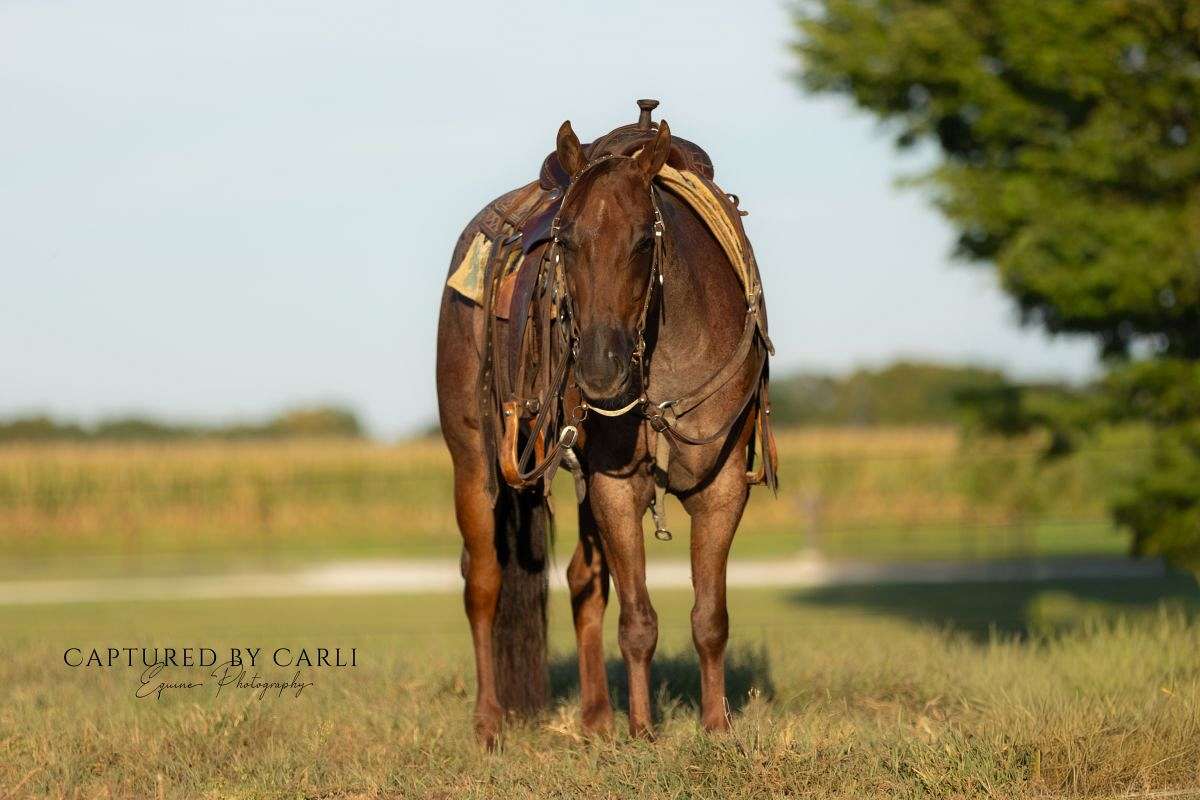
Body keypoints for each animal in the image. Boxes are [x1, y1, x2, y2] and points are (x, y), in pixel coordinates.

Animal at [436, 106, 775, 746]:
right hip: (474, 460)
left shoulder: (720, 489)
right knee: (483, 582)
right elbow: (638, 620)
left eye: (645, 240)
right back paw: (489, 724)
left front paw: (717, 728)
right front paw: (643, 731)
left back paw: (596, 719)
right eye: (565, 240)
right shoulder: (616, 488)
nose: (598, 368)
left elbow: (709, 616)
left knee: (582, 581)